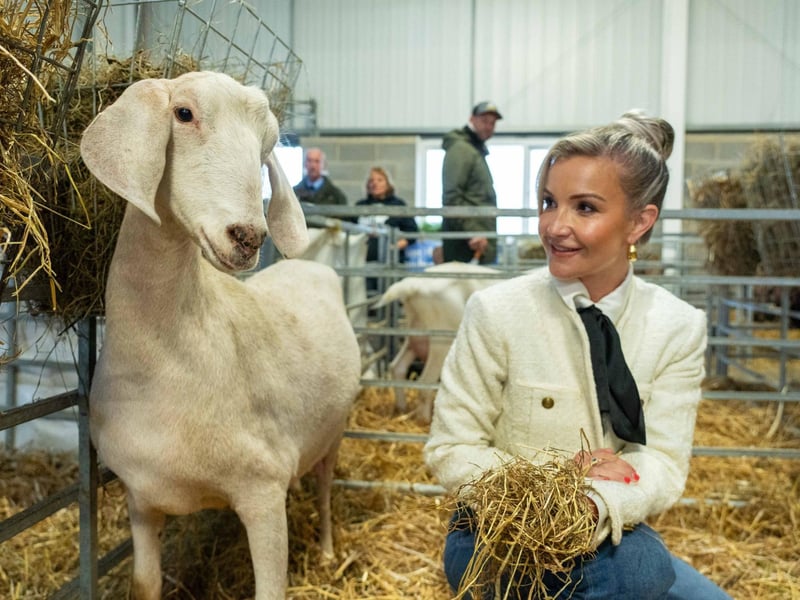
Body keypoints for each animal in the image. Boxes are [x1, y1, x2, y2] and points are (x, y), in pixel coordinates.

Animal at [80, 71, 362, 600]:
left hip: (334, 432)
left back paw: (328, 550)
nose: (248, 237)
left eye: (267, 144)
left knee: (325, 491)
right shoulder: (141, 500)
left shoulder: (261, 490)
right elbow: (144, 584)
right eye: (183, 113)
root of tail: (312, 267)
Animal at [372, 262, 501, 423]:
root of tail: (412, 284)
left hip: (416, 333)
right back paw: (424, 420)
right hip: (442, 339)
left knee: (397, 367)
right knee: (424, 382)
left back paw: (401, 409)